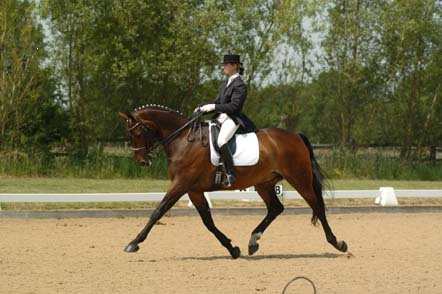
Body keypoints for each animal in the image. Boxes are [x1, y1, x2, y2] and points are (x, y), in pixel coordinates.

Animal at [119, 104, 348, 258]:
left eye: (137, 132)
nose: (143, 161)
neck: (183, 140)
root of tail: (296, 136)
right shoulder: (193, 190)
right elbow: (208, 222)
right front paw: (232, 248)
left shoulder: (181, 184)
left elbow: (158, 211)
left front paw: (133, 243)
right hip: (264, 183)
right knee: (276, 208)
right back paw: (253, 242)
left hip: (298, 178)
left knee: (316, 205)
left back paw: (337, 243)